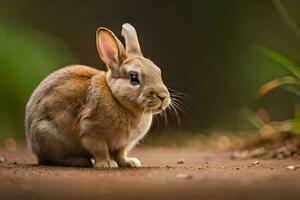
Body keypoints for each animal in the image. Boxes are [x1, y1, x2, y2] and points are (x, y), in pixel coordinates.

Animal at [24, 22, 170, 168]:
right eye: (134, 77)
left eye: (158, 71)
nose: (163, 97)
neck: (117, 99)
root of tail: (33, 144)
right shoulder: (92, 131)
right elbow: (100, 149)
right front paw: (107, 164)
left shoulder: (123, 144)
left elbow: (120, 154)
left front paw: (129, 163)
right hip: (50, 135)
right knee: (54, 158)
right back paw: (80, 161)